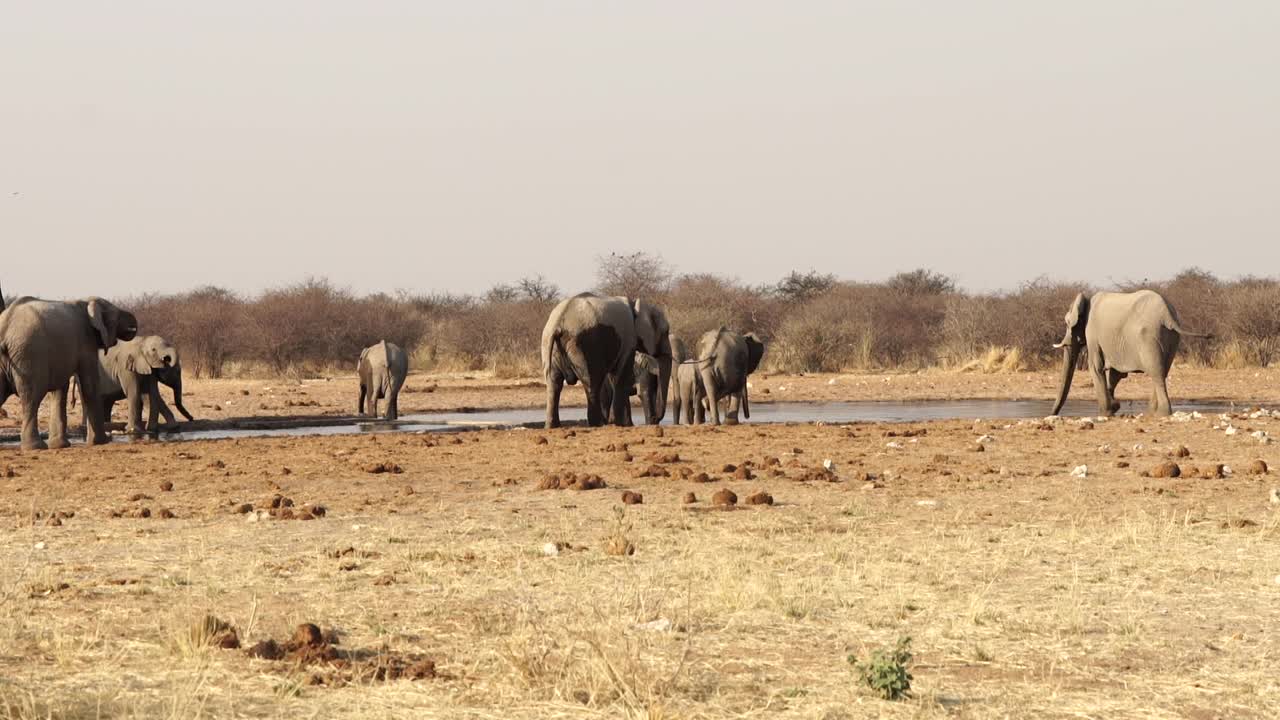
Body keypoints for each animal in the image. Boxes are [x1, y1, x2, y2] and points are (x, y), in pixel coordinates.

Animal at [0, 286, 140, 445]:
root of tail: (5, 329)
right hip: (28, 355)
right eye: (117, 315)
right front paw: (101, 441)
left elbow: (60, 389)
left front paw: (60, 445)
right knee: (32, 397)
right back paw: (35, 446)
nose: (133, 325)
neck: (86, 302)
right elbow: (90, 385)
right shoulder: (86, 340)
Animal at [540, 292, 675, 425]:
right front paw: (622, 425)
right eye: (666, 332)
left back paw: (553, 426)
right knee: (592, 382)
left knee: (554, 384)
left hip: (549, 345)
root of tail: (558, 323)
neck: (637, 305)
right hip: (585, 346)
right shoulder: (629, 338)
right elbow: (622, 378)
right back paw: (598, 424)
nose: (656, 418)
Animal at [1049, 288, 1208, 417]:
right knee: (1163, 371)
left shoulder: (1092, 333)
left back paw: (1162, 413)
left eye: (1067, 323)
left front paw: (1106, 412)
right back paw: (1151, 413)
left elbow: (1096, 367)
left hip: (1148, 337)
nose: (1053, 414)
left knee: (1156, 372)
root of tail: (1167, 315)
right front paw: (1114, 406)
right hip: (1172, 338)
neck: (1086, 300)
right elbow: (1116, 374)